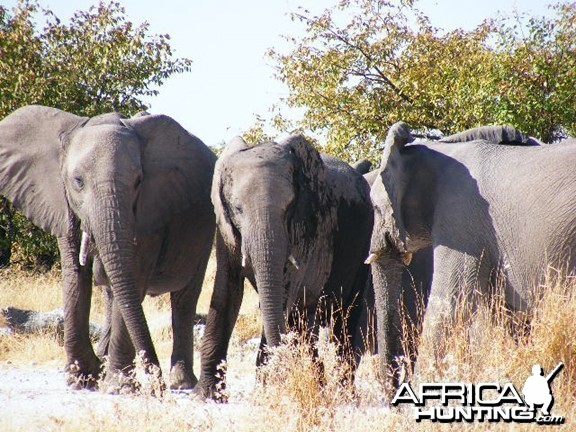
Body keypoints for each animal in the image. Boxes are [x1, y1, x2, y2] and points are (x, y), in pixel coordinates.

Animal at [0, 104, 215, 388]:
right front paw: (82, 377)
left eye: (138, 181)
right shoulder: (63, 205)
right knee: (114, 293)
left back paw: (181, 382)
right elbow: (75, 278)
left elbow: (133, 278)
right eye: (77, 181)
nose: (156, 383)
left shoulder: (148, 211)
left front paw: (119, 386)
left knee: (183, 299)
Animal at [195, 135, 374, 398]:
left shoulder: (309, 226)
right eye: (237, 209)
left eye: (290, 207)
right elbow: (226, 291)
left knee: (343, 318)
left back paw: (342, 393)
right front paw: (208, 395)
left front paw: (269, 390)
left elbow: (286, 298)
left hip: (363, 245)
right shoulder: (225, 229)